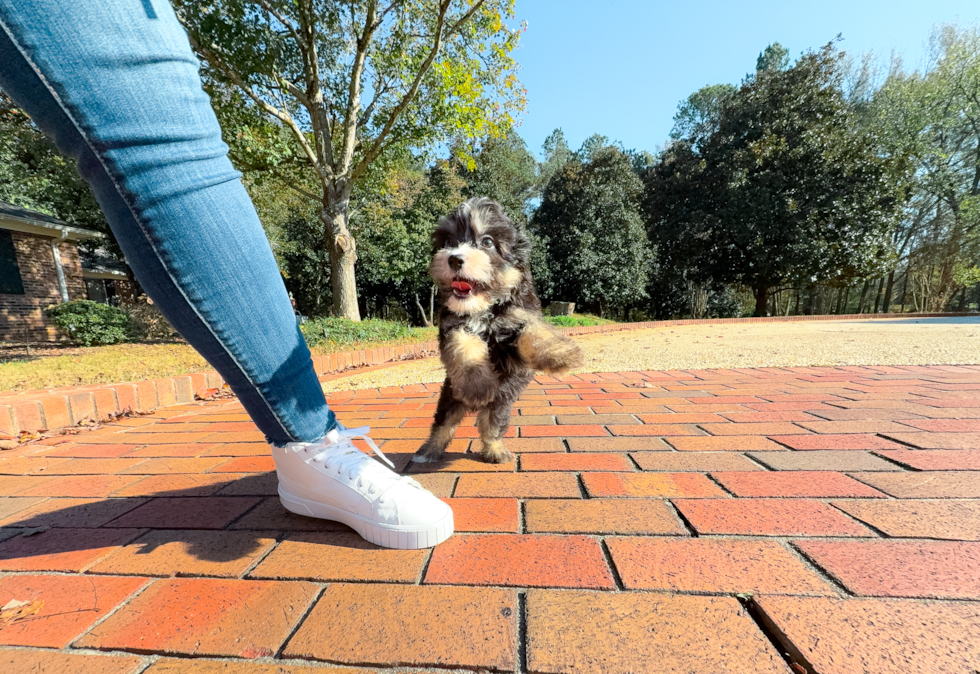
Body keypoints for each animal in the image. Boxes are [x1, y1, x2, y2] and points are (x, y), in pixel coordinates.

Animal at [412, 197, 580, 464]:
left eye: (488, 242)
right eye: (448, 243)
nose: (454, 259)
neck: (485, 307)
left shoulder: (518, 319)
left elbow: (534, 332)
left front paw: (561, 353)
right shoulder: (453, 326)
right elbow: (465, 347)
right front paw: (477, 384)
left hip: (501, 401)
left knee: (491, 425)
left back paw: (495, 450)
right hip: (451, 395)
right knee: (443, 424)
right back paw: (428, 451)